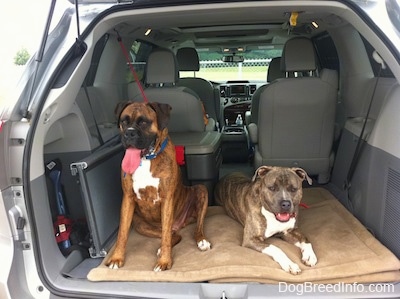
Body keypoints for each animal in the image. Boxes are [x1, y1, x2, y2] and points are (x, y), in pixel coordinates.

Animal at [106, 102, 212, 274]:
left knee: (193, 228)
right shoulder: (127, 198)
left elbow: (166, 237)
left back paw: (201, 241)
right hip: (141, 225)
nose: (129, 133)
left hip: (201, 190)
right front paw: (117, 258)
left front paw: (164, 261)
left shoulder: (167, 199)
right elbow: (122, 233)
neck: (146, 159)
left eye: (144, 122)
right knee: (173, 235)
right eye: (124, 121)